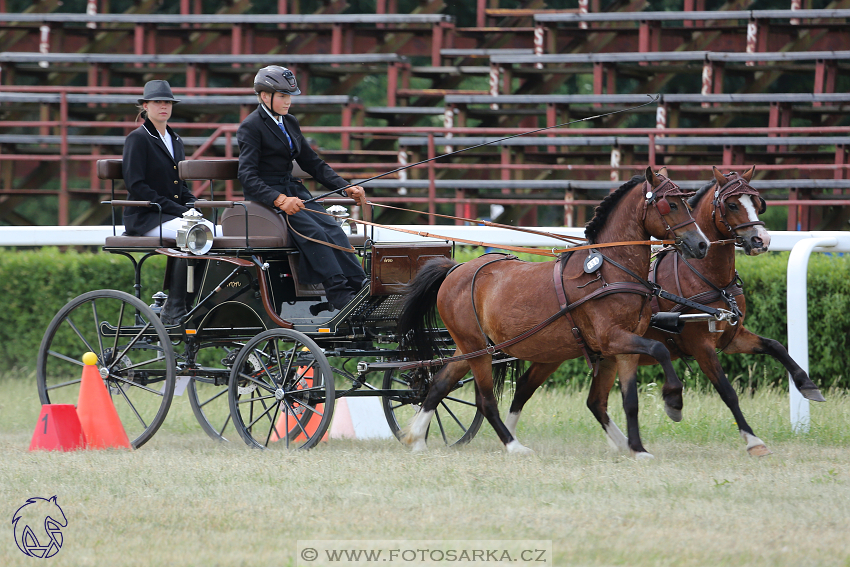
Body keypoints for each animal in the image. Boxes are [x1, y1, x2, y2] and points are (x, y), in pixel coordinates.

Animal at [398, 166, 708, 460]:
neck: (610, 271)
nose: (702, 244)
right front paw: (673, 402)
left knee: (438, 386)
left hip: (470, 347)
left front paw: (638, 448)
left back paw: (417, 440)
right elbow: (660, 349)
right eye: (670, 204)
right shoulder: (613, 339)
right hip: (479, 350)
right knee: (485, 401)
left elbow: (629, 401)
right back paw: (513, 445)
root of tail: (456, 268)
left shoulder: (622, 348)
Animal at [500, 168, 824, 458]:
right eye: (732, 204)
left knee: (592, 401)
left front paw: (808, 385)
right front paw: (752, 440)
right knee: (526, 387)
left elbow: (775, 345)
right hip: (553, 350)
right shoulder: (701, 345)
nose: (761, 240)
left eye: (757, 202)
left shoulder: (731, 336)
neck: (705, 276)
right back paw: (510, 438)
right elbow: (727, 391)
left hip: (585, 352)